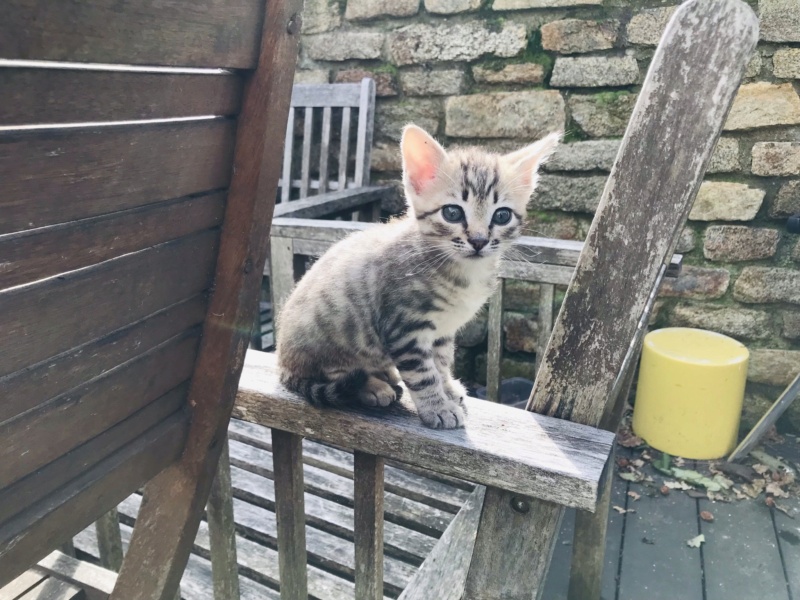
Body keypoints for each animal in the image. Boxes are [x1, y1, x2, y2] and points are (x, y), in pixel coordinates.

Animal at [278, 124, 560, 428]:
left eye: (502, 216)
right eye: (452, 212)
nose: (479, 241)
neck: (462, 273)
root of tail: (283, 361)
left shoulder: (442, 331)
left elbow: (441, 363)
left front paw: (448, 390)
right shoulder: (405, 328)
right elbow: (423, 375)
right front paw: (438, 407)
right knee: (338, 373)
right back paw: (373, 386)